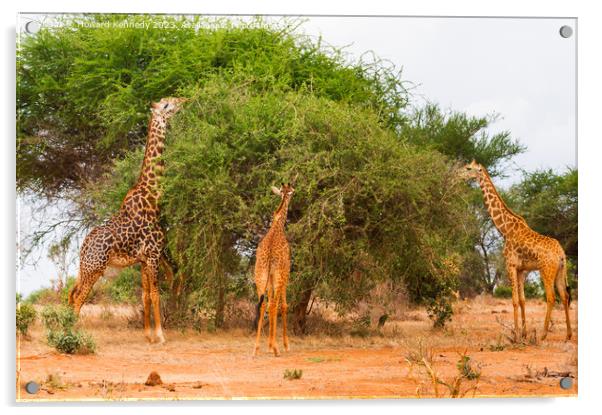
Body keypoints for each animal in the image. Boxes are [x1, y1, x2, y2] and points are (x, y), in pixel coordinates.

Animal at [68, 97, 185, 344]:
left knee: (72, 294)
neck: (153, 196)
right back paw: (70, 334)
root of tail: (83, 248)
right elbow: (155, 294)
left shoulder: (143, 259)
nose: (184, 100)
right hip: (95, 268)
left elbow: (145, 296)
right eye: (167, 105)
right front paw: (161, 336)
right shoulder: (153, 254)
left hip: (85, 268)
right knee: (79, 298)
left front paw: (148, 336)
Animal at [462, 160, 568, 342]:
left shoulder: (510, 265)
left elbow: (514, 301)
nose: (459, 174)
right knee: (565, 296)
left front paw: (517, 335)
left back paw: (543, 335)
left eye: (468, 168)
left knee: (551, 297)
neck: (505, 229)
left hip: (546, 270)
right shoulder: (521, 269)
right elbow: (523, 300)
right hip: (560, 271)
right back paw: (568, 335)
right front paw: (524, 334)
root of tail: (561, 254)